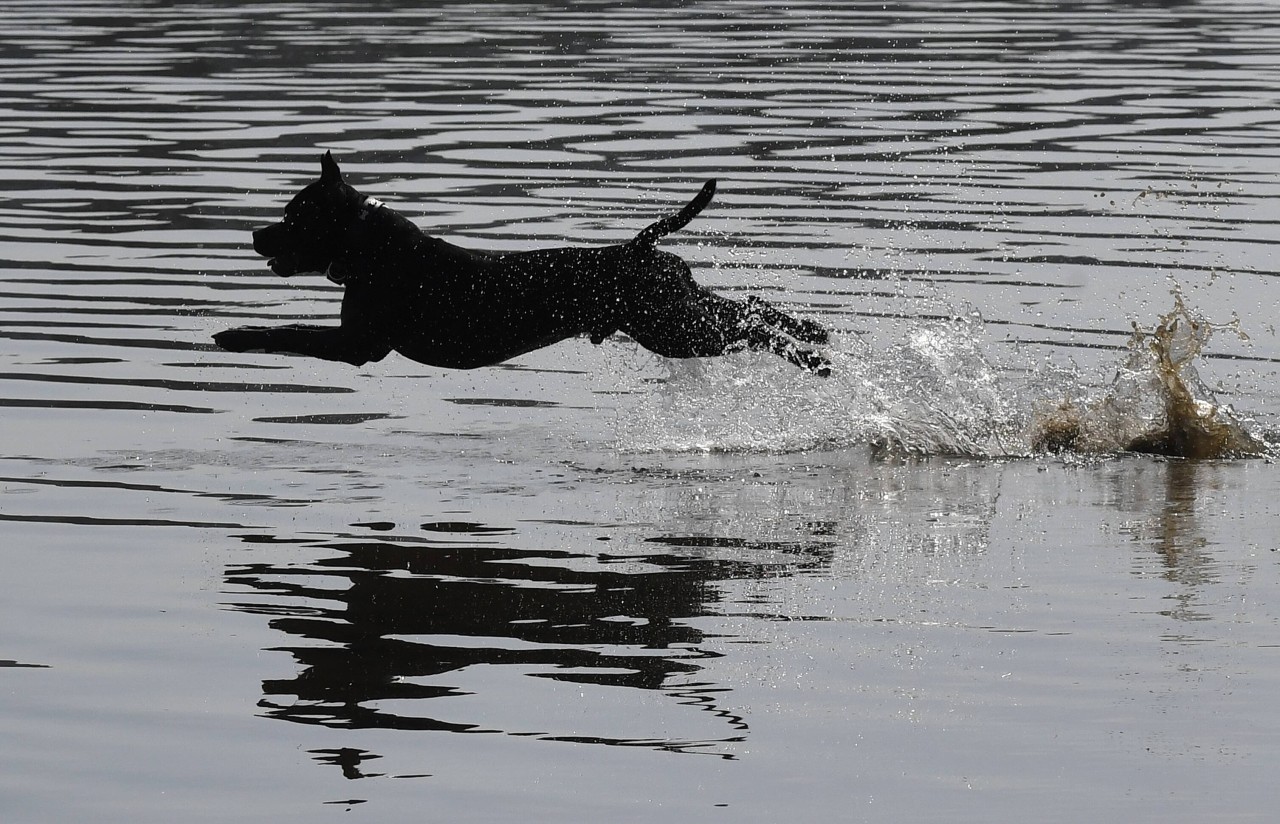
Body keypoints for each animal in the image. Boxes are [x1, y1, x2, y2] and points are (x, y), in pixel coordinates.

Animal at [212, 150, 829, 373]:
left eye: (293, 216)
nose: (255, 233)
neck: (372, 247)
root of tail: (639, 246)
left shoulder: (355, 345)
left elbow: (287, 333)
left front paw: (235, 335)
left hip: (677, 328)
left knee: (751, 326)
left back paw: (811, 356)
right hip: (678, 315)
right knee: (752, 306)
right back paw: (816, 334)